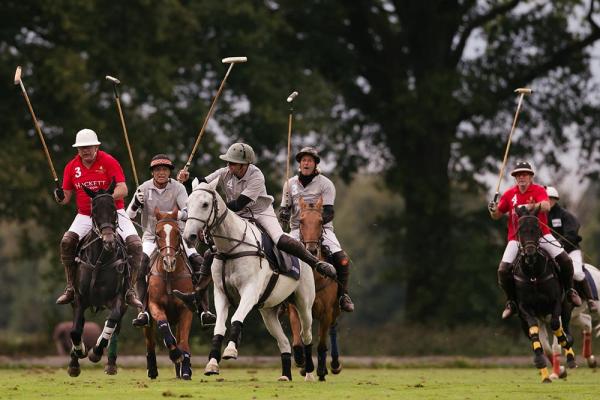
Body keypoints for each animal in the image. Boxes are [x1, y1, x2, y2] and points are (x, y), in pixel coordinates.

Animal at [67, 180, 128, 376]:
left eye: (114, 209)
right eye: (93, 211)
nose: (109, 242)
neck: (100, 261)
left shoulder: (118, 298)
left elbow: (112, 321)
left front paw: (95, 351)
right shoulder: (79, 298)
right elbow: (75, 331)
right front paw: (79, 354)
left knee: (115, 326)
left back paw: (111, 364)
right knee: (78, 325)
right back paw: (74, 359)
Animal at [144, 208, 195, 380]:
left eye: (178, 233)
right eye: (157, 233)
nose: (169, 263)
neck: (170, 276)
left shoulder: (186, 309)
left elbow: (184, 340)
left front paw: (185, 369)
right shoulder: (154, 304)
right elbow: (164, 327)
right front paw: (175, 355)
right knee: (150, 340)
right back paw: (152, 370)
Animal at [183, 179, 316, 382]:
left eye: (205, 204)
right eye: (187, 204)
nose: (188, 236)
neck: (230, 248)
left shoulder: (250, 292)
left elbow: (236, 318)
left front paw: (230, 350)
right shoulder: (221, 294)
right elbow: (219, 327)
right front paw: (212, 364)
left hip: (304, 303)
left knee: (306, 334)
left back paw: (309, 373)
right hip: (269, 311)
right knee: (284, 341)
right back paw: (285, 375)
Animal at [288, 197, 340, 382]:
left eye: (320, 221)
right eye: (301, 221)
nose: (311, 250)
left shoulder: (326, 312)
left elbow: (322, 345)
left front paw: (321, 371)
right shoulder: (295, 308)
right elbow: (299, 340)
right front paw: (302, 363)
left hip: (335, 310)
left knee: (332, 330)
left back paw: (332, 366)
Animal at [512, 205, 576, 382]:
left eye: (536, 229)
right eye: (520, 230)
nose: (530, 254)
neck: (533, 273)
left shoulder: (555, 302)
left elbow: (556, 326)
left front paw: (566, 349)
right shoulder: (525, 308)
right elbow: (534, 334)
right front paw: (540, 362)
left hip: (566, 306)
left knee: (564, 328)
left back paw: (569, 357)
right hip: (528, 318)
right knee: (539, 338)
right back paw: (548, 372)